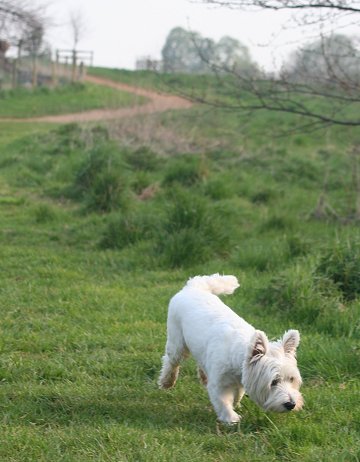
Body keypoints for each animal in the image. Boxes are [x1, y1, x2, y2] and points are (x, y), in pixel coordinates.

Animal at [159, 274, 302, 422]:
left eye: (291, 379)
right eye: (274, 382)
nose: (291, 404)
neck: (237, 356)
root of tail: (193, 286)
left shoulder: (241, 380)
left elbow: (237, 396)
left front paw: (236, 407)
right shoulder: (219, 384)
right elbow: (223, 402)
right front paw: (232, 419)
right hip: (177, 342)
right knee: (171, 361)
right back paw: (167, 382)